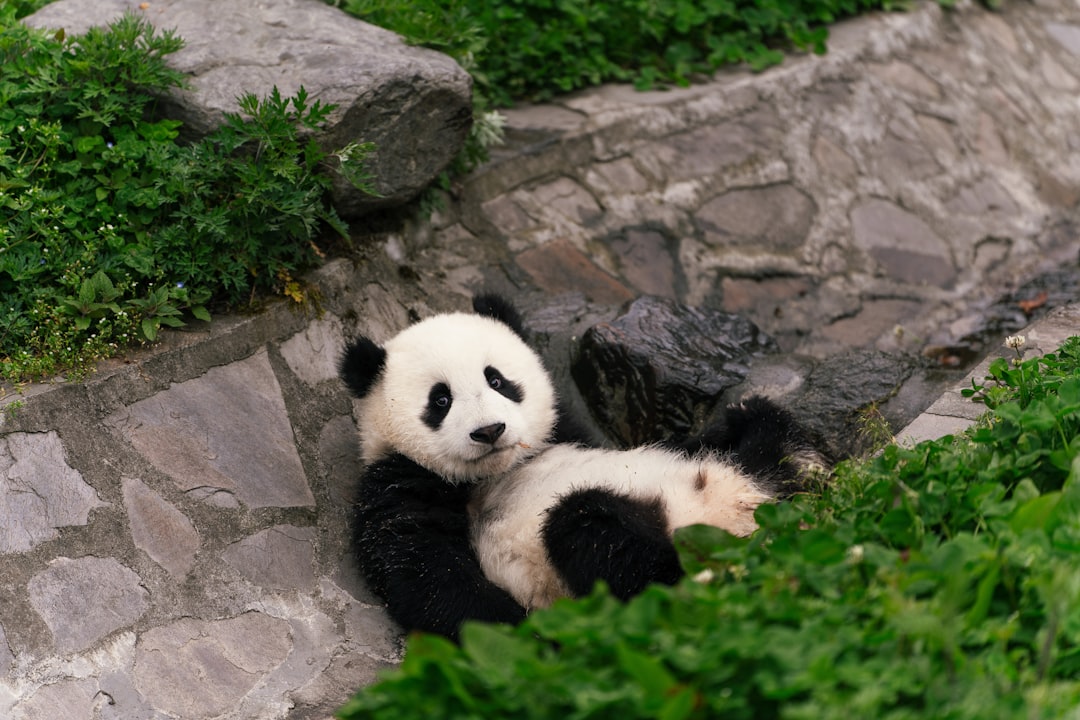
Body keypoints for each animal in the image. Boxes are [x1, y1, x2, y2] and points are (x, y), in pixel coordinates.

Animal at [341, 295, 829, 639]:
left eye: (496, 379)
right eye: (440, 400)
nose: (490, 430)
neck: (499, 470)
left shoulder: (566, 431)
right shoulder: (398, 483)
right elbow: (428, 575)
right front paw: (524, 633)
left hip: (741, 480)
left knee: (756, 442)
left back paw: (773, 439)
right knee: (589, 528)